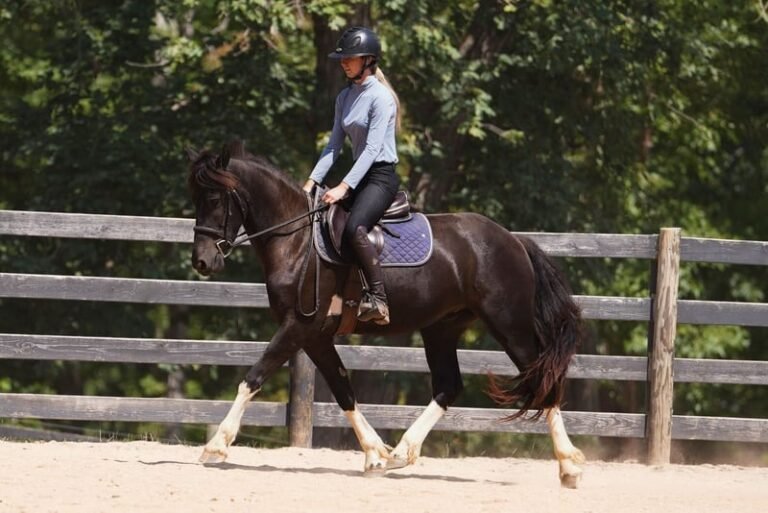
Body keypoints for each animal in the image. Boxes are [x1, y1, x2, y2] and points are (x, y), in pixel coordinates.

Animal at [187, 142, 586, 487]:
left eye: (213, 199)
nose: (202, 262)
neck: (296, 241)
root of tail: (514, 240)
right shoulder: (316, 336)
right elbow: (343, 389)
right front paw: (375, 454)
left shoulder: (299, 326)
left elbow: (253, 377)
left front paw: (216, 445)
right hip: (441, 329)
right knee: (449, 386)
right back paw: (401, 452)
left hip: (509, 325)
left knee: (543, 379)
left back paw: (569, 466)